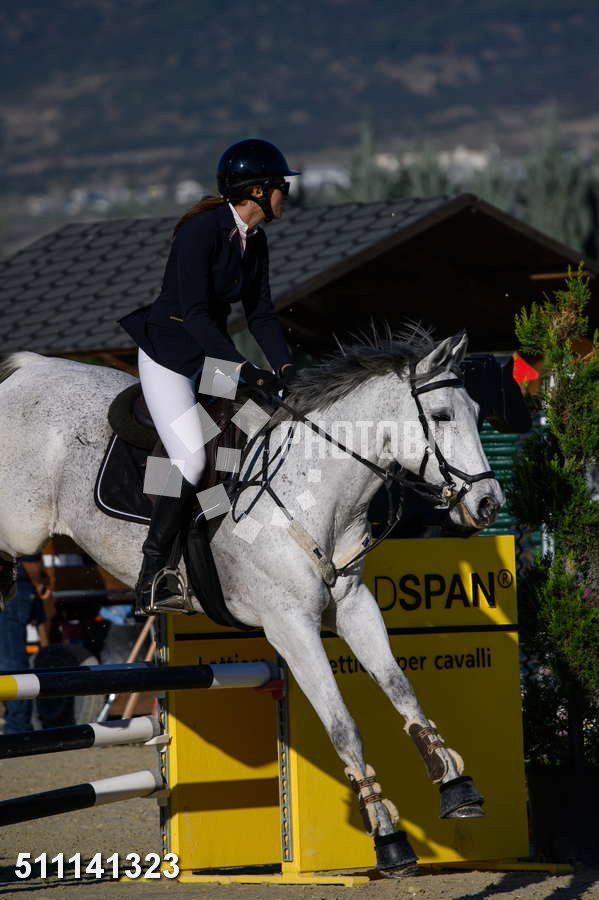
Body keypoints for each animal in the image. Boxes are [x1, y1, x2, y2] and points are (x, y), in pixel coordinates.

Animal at [0, 326, 503, 874]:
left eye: (478, 412)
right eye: (442, 416)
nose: (488, 505)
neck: (313, 490)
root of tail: (32, 368)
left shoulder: (354, 606)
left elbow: (402, 689)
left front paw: (456, 785)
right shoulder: (290, 625)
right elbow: (343, 726)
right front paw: (388, 836)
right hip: (22, 530)